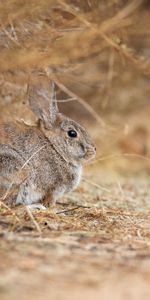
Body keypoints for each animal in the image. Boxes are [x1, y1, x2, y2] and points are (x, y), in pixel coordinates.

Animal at [0, 77, 96, 209]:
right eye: (72, 133)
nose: (94, 150)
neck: (55, 147)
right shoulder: (54, 188)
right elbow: (49, 198)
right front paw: (49, 206)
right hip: (17, 170)